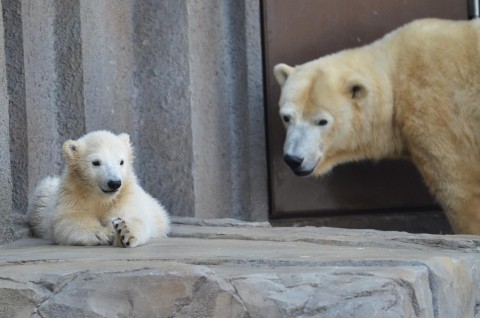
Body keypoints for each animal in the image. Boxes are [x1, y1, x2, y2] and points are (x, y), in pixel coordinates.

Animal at [28, 130, 171, 247]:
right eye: (96, 162)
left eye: (121, 161)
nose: (114, 183)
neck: (102, 198)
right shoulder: (72, 193)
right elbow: (67, 219)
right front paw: (106, 233)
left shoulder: (125, 194)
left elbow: (135, 216)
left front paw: (124, 230)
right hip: (41, 199)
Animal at [274, 18, 480, 235]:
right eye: (286, 117)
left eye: (322, 121)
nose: (294, 159)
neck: (394, 73)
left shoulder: (437, 113)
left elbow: (459, 187)